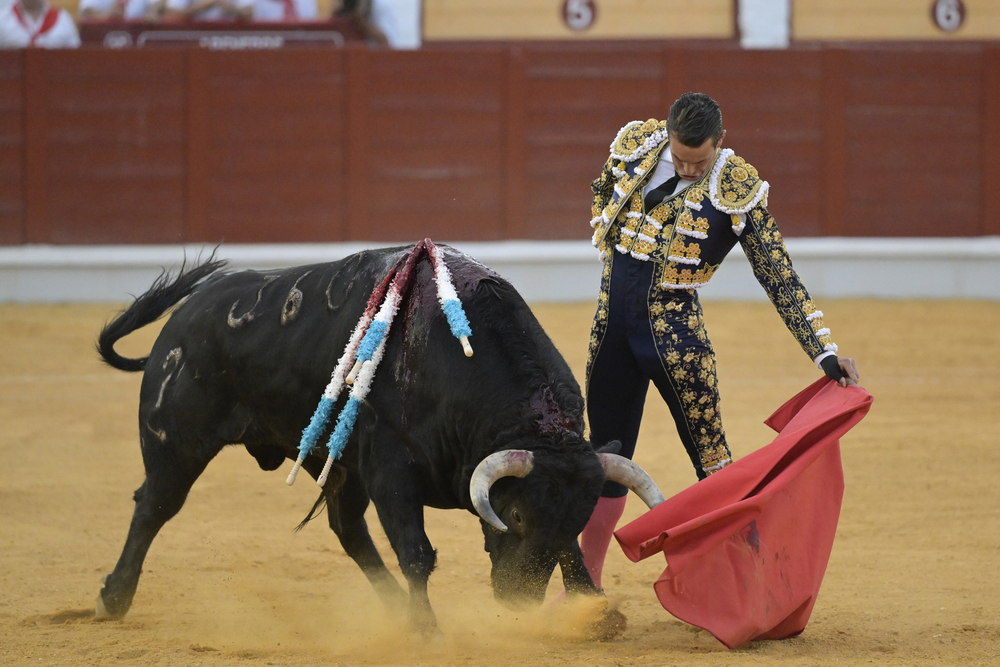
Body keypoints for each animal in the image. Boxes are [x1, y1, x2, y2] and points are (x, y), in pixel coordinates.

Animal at [92, 243, 656, 636]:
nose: (518, 602)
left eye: (579, 517)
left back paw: (393, 609)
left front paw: (593, 614)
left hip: (340, 466)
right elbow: (417, 552)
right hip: (177, 442)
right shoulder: (391, 471)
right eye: (516, 516)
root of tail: (183, 318)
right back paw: (111, 598)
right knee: (153, 507)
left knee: (348, 531)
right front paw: (427, 629)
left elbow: (572, 553)